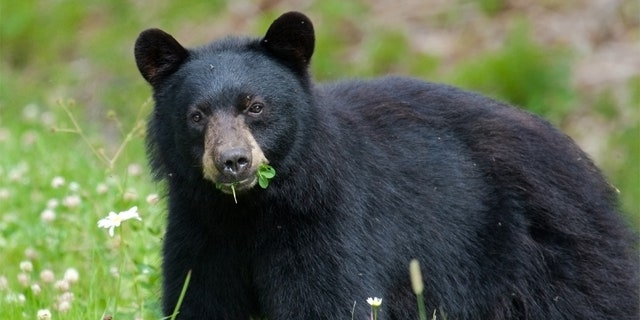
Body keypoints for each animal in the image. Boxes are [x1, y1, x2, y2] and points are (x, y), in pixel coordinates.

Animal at [132, 11, 636, 318]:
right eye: (196, 116)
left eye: (255, 107)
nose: (233, 162)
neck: (250, 212)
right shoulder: (201, 230)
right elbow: (198, 298)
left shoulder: (330, 225)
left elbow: (328, 299)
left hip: (551, 259)